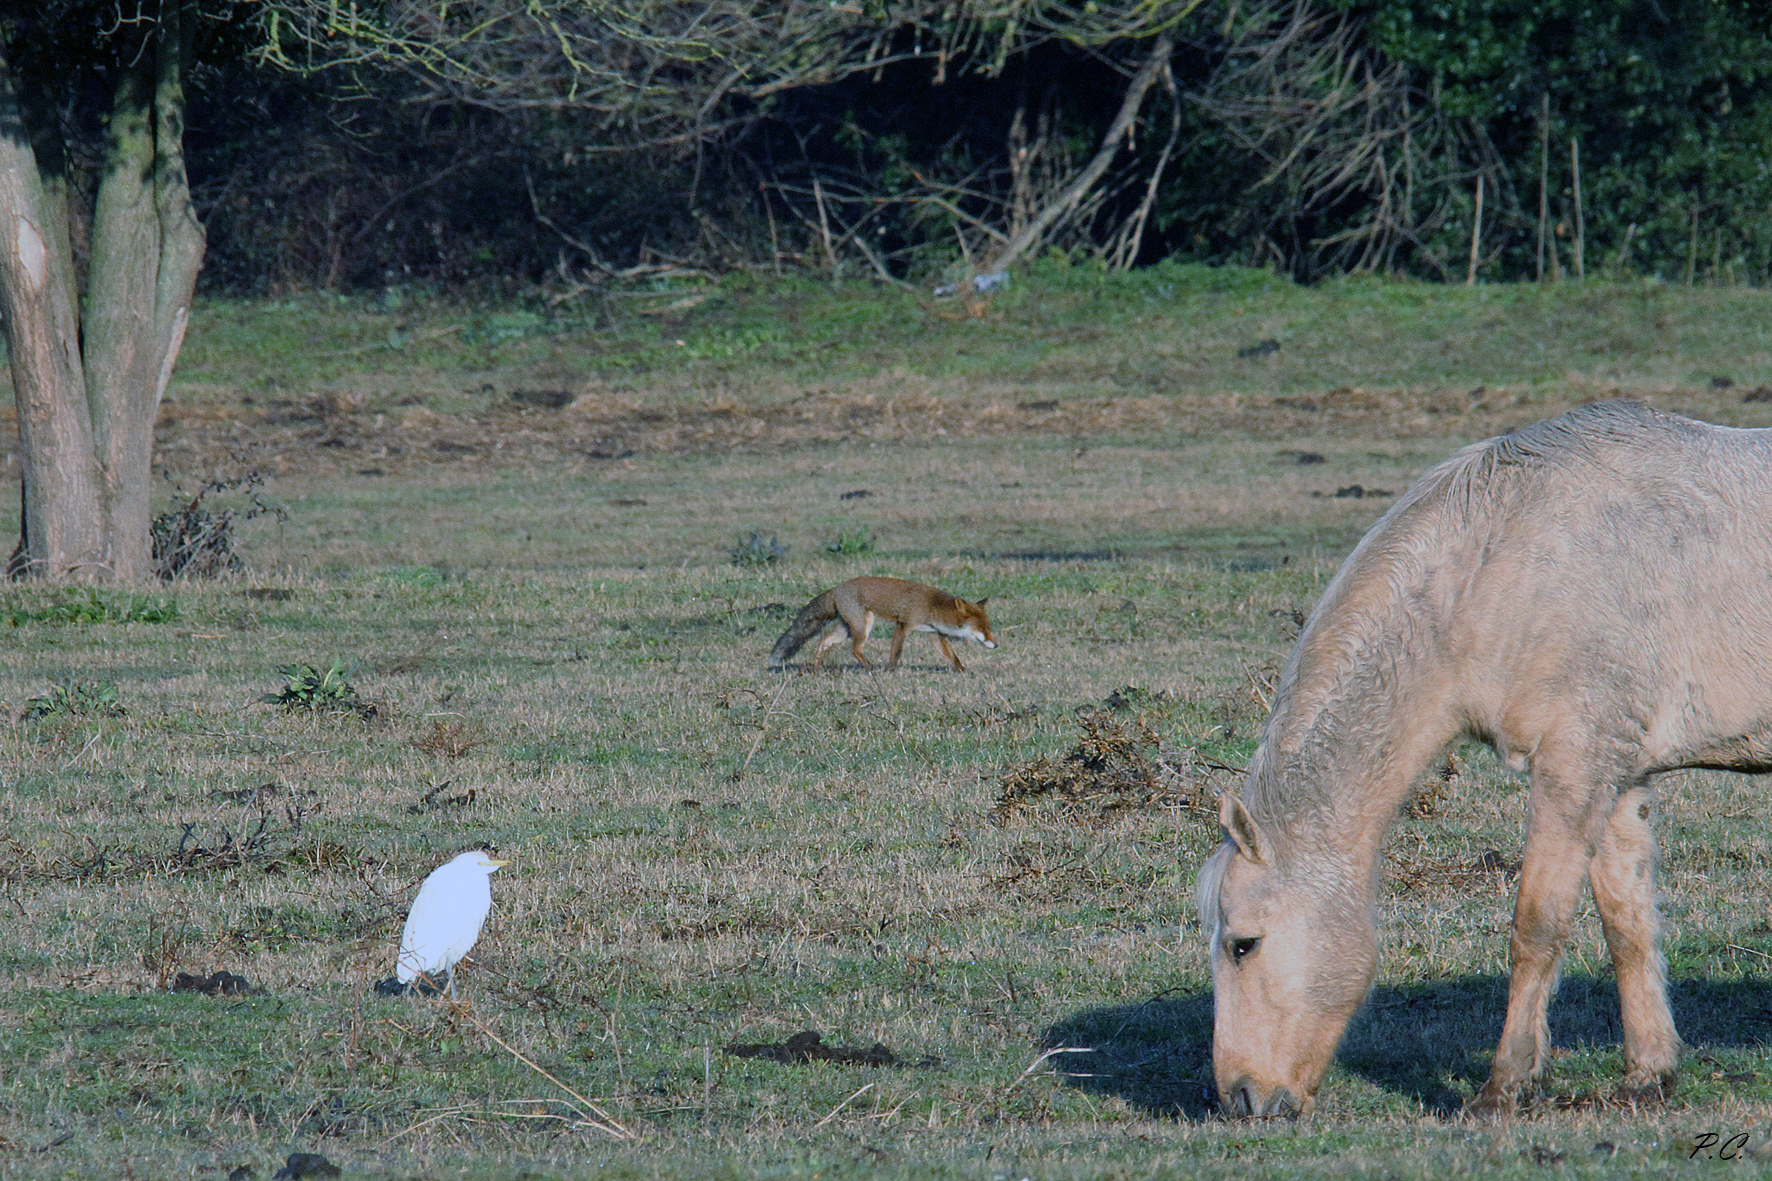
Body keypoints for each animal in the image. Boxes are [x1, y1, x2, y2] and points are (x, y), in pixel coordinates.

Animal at [767, 576, 997, 672]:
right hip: (863, 626)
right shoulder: (903, 625)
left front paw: (962, 670)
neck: (931, 605)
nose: (996, 646)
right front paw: (890, 670)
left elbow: (952, 656)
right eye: (983, 629)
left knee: (825, 641)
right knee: (855, 650)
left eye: (989, 629)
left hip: (848, 629)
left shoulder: (935, 634)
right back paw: (870, 668)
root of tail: (837, 588)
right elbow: (896, 652)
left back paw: (816, 668)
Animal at [1197, 400, 1772, 1118]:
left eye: (1243, 944)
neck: (1500, 559)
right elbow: (1627, 924)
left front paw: (1505, 1086)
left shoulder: (1572, 765)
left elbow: (1536, 926)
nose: (1240, 1098)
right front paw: (1647, 1077)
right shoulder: (1619, 775)